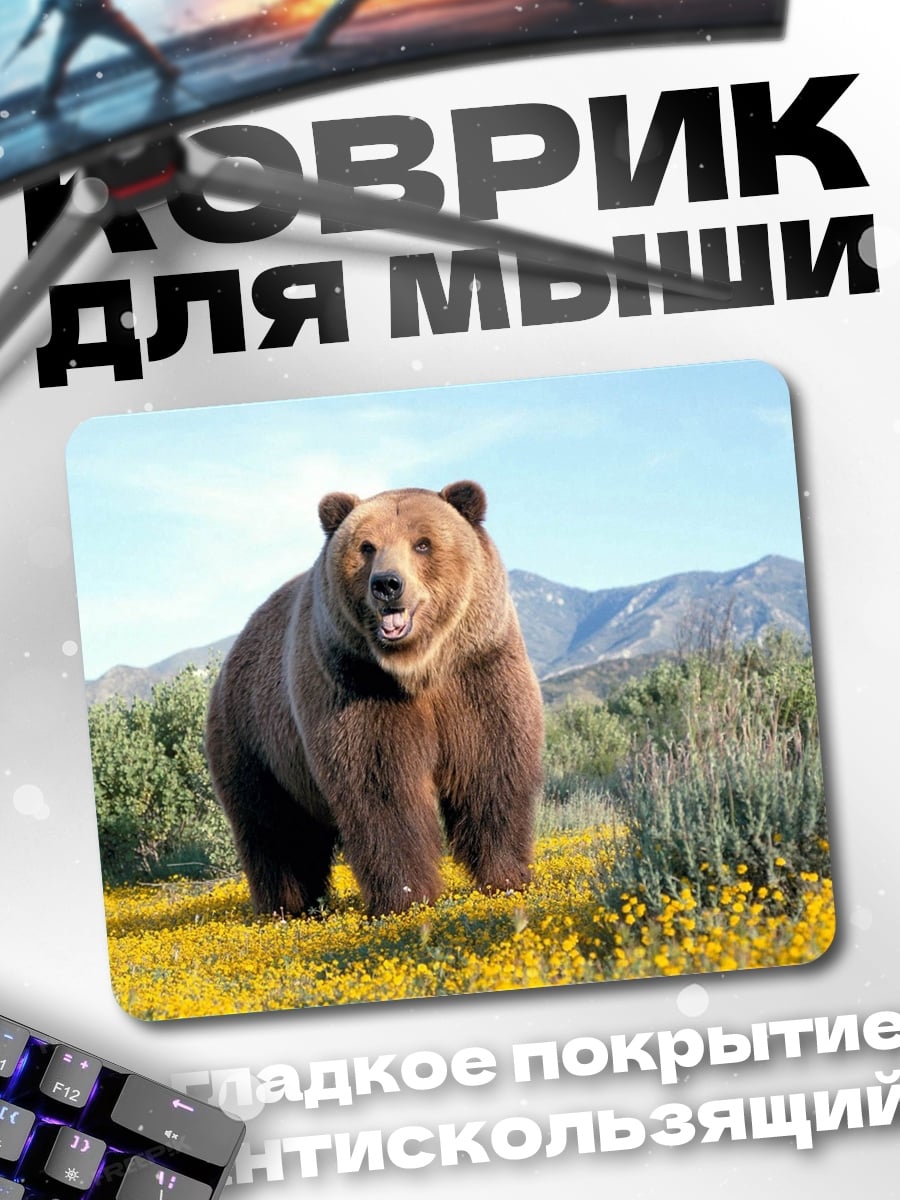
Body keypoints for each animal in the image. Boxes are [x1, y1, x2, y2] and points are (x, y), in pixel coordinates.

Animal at [205, 480, 545, 918]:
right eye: (367, 546)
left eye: (423, 543)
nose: (387, 584)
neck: (419, 669)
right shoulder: (357, 686)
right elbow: (382, 788)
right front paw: (407, 896)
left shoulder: (477, 672)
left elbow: (491, 769)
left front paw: (506, 877)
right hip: (255, 742)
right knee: (274, 830)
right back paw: (287, 906)